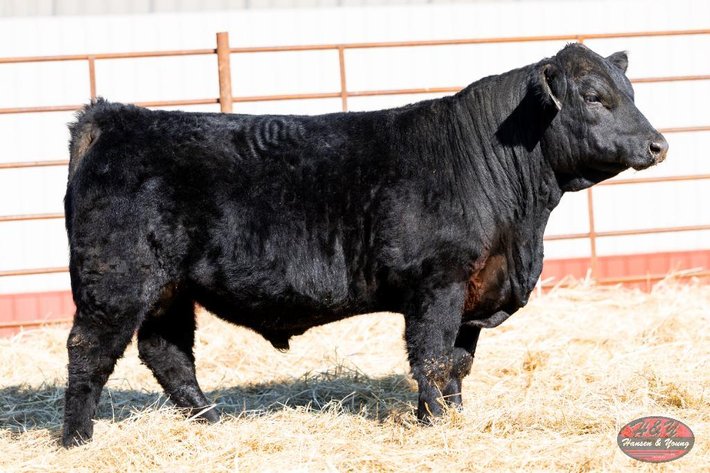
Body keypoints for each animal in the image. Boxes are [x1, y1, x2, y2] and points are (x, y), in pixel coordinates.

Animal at [61, 43, 667, 447]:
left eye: (632, 93)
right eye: (594, 96)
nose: (658, 144)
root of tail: (114, 118)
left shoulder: (475, 289)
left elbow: (457, 363)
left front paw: (450, 420)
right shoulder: (438, 283)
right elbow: (432, 360)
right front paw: (438, 426)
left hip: (168, 289)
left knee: (168, 355)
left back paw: (211, 422)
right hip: (115, 281)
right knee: (88, 351)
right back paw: (76, 440)